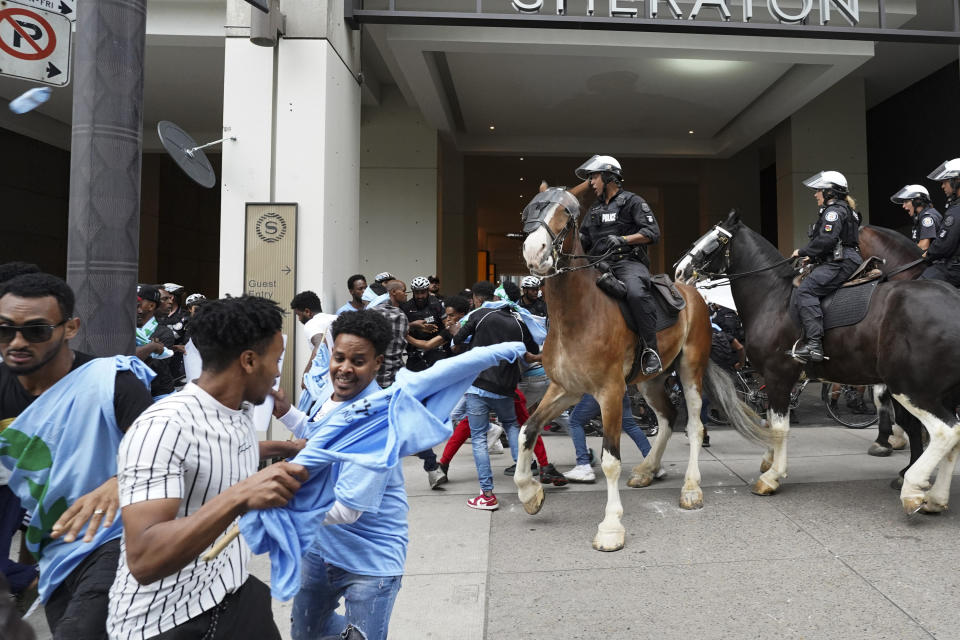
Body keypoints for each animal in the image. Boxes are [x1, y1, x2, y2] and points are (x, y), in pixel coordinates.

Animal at [512, 181, 760, 552]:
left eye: (566, 217)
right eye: (530, 209)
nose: (534, 251)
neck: (576, 314)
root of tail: (693, 291)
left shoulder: (610, 392)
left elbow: (610, 460)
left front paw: (611, 526)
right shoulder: (566, 389)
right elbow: (527, 431)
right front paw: (529, 492)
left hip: (690, 372)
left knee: (694, 427)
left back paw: (690, 488)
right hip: (650, 380)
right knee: (667, 417)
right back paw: (647, 469)